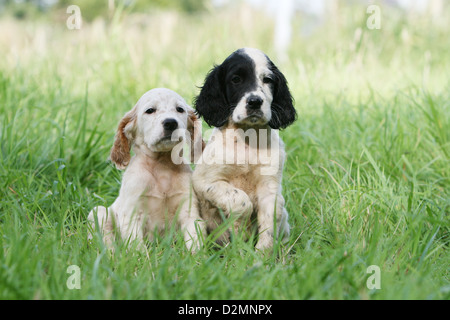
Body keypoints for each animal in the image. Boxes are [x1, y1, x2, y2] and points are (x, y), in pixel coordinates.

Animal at [86, 88, 206, 252]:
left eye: (180, 109)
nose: (170, 123)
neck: (161, 167)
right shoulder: (132, 215)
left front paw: (199, 257)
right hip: (97, 213)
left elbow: (195, 241)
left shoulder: (189, 212)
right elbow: (137, 248)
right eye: (150, 110)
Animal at [192, 47, 296, 250]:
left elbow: (271, 218)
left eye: (267, 79)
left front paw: (262, 253)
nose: (255, 101)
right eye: (236, 79)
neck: (247, 139)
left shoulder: (269, 187)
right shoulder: (205, 180)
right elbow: (240, 200)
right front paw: (240, 235)